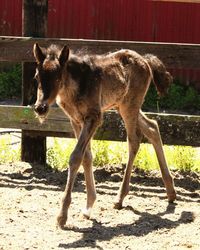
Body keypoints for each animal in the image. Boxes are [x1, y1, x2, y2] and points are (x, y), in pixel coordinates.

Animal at [33, 43, 177, 229]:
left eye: (58, 77)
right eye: (37, 76)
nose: (40, 108)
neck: (76, 85)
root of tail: (145, 60)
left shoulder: (94, 117)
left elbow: (76, 157)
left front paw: (62, 216)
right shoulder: (76, 120)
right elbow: (86, 157)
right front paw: (88, 207)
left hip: (130, 106)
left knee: (134, 141)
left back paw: (120, 197)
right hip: (123, 105)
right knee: (152, 127)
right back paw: (171, 192)